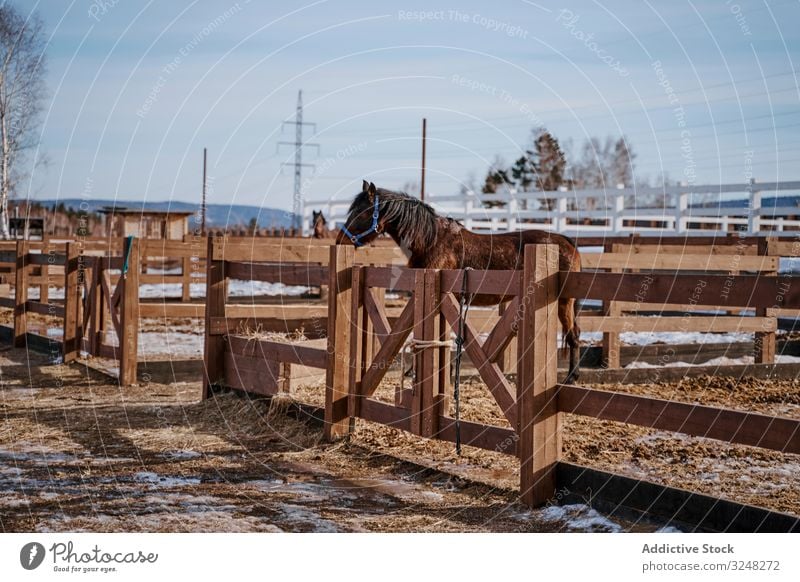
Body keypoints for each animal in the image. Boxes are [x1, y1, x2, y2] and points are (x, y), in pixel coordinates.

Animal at [338, 180, 580, 386]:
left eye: (362, 212)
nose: (340, 240)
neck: (430, 240)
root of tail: (567, 242)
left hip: (564, 301)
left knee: (573, 336)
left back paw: (571, 378)